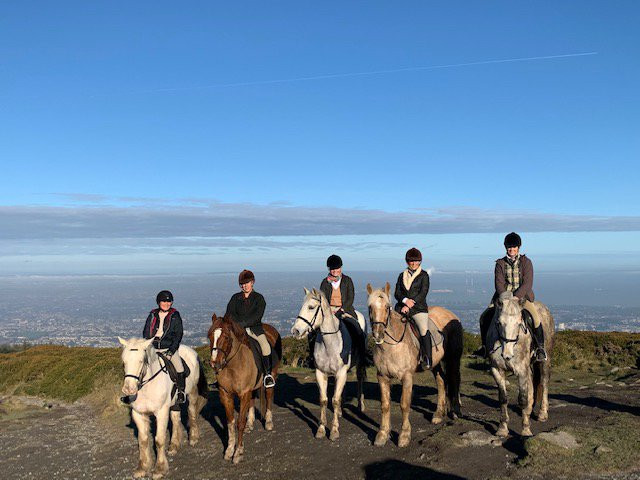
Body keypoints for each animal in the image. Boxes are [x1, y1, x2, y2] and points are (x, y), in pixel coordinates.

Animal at [116, 338, 204, 480]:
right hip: (174, 403)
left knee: (191, 412)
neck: (147, 386)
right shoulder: (138, 414)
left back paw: (194, 438)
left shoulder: (161, 412)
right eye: (124, 362)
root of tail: (191, 351)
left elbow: (159, 440)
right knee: (175, 419)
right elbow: (143, 440)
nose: (129, 389)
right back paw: (174, 446)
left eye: (141, 361)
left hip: (192, 392)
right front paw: (142, 468)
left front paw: (160, 469)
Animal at [209, 314, 282, 464]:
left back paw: (269, 422)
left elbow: (239, 423)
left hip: (271, 376)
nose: (214, 364)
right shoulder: (226, 394)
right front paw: (229, 450)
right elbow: (230, 423)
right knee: (253, 399)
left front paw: (238, 452)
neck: (232, 365)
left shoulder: (244, 394)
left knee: (269, 395)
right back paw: (251, 423)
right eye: (210, 336)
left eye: (226, 337)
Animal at [290, 288, 364, 442]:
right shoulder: (321, 373)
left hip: (359, 364)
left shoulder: (340, 373)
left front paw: (334, 430)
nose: (295, 331)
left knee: (359, 379)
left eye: (311, 307)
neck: (329, 343)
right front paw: (321, 429)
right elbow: (324, 400)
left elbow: (334, 400)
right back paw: (341, 410)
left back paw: (360, 405)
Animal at [364, 284, 460, 448]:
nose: (378, 334)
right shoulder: (382, 376)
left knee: (455, 380)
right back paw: (438, 415)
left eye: (387, 307)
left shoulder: (407, 377)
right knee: (441, 381)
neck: (392, 345)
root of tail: (451, 314)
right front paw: (382, 435)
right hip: (434, 364)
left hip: (453, 358)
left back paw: (456, 411)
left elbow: (404, 404)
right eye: (370, 307)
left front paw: (404, 436)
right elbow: (385, 405)